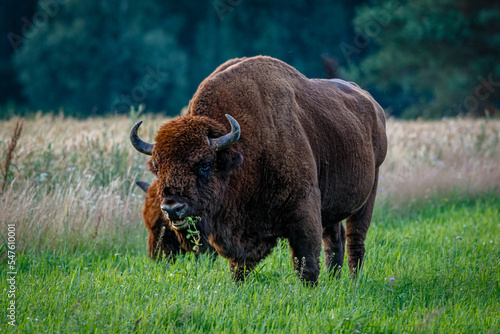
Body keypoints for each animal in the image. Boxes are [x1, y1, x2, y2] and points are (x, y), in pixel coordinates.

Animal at [129, 55, 386, 284]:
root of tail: (373, 105)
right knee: (335, 239)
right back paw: (335, 280)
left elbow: (305, 261)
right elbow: (239, 267)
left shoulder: (304, 208)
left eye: (205, 164)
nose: (173, 208)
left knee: (355, 239)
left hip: (368, 193)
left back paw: (353, 282)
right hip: (332, 202)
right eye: (158, 167)